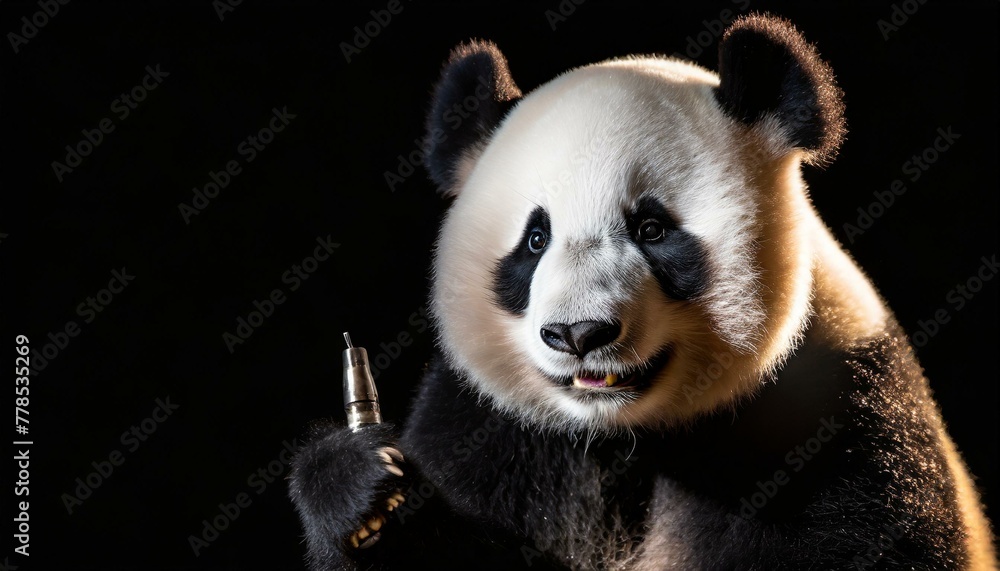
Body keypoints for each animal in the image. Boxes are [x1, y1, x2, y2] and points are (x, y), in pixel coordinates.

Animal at [289, 14, 996, 570]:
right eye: (535, 240)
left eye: (652, 229)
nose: (578, 334)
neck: (624, 437)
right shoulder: (488, 430)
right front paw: (355, 489)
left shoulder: (840, 419)